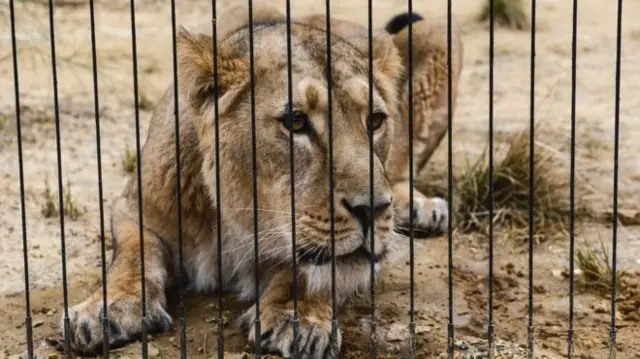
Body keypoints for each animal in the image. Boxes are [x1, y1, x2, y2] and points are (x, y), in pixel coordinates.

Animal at [62, 4, 462, 358]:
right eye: (296, 121)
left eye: (375, 120)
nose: (374, 209)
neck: (240, 223)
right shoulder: (134, 208)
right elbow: (133, 254)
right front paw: (107, 308)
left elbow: (312, 272)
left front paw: (296, 319)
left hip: (439, 30)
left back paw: (418, 207)